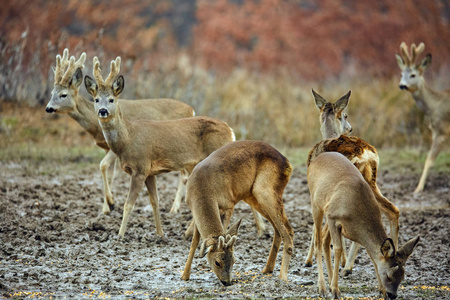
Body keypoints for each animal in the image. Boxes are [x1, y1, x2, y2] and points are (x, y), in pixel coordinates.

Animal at [45, 50, 195, 217]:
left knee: (184, 174)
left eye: (63, 94)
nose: (48, 108)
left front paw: (110, 203)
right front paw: (107, 208)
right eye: (52, 92)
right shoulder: (107, 148)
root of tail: (191, 110)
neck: (94, 126)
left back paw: (174, 209)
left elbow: (102, 165)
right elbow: (110, 174)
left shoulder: (116, 147)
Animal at [181, 141, 294, 286]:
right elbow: (195, 241)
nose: (227, 282)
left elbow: (223, 232)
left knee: (288, 230)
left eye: (234, 260)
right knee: (278, 229)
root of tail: (287, 163)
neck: (202, 188)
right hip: (252, 196)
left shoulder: (228, 204)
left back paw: (283, 277)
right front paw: (185, 275)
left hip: (265, 190)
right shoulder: (194, 212)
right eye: (217, 262)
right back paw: (267, 269)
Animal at [304, 89, 400, 276]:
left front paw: (308, 261)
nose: (350, 128)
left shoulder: (316, 190)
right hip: (371, 182)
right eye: (346, 115)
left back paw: (347, 267)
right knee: (392, 210)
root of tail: (365, 153)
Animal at [308, 152, 420, 300]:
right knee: (318, 243)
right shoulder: (332, 216)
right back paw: (323, 288)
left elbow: (373, 257)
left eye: (402, 277)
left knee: (325, 242)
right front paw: (336, 290)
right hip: (316, 204)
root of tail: (317, 158)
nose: (392, 295)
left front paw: (382, 291)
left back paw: (330, 282)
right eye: (389, 276)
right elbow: (337, 249)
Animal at [396, 42, 448, 195]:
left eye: (413, 75)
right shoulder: (435, 131)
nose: (402, 85)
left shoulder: (442, 131)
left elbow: (429, 160)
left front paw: (418, 188)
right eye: (401, 73)